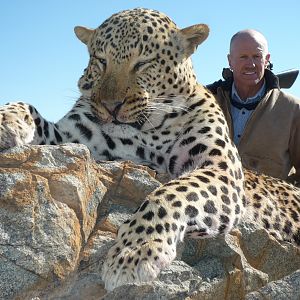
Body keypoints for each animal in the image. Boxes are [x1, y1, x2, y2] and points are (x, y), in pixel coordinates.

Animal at [0, 7, 300, 292]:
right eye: (101, 61)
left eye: (142, 63)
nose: (111, 106)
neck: (148, 129)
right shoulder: (71, 136)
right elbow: (28, 106)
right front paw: (6, 120)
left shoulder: (221, 169)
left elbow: (170, 194)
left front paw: (133, 253)